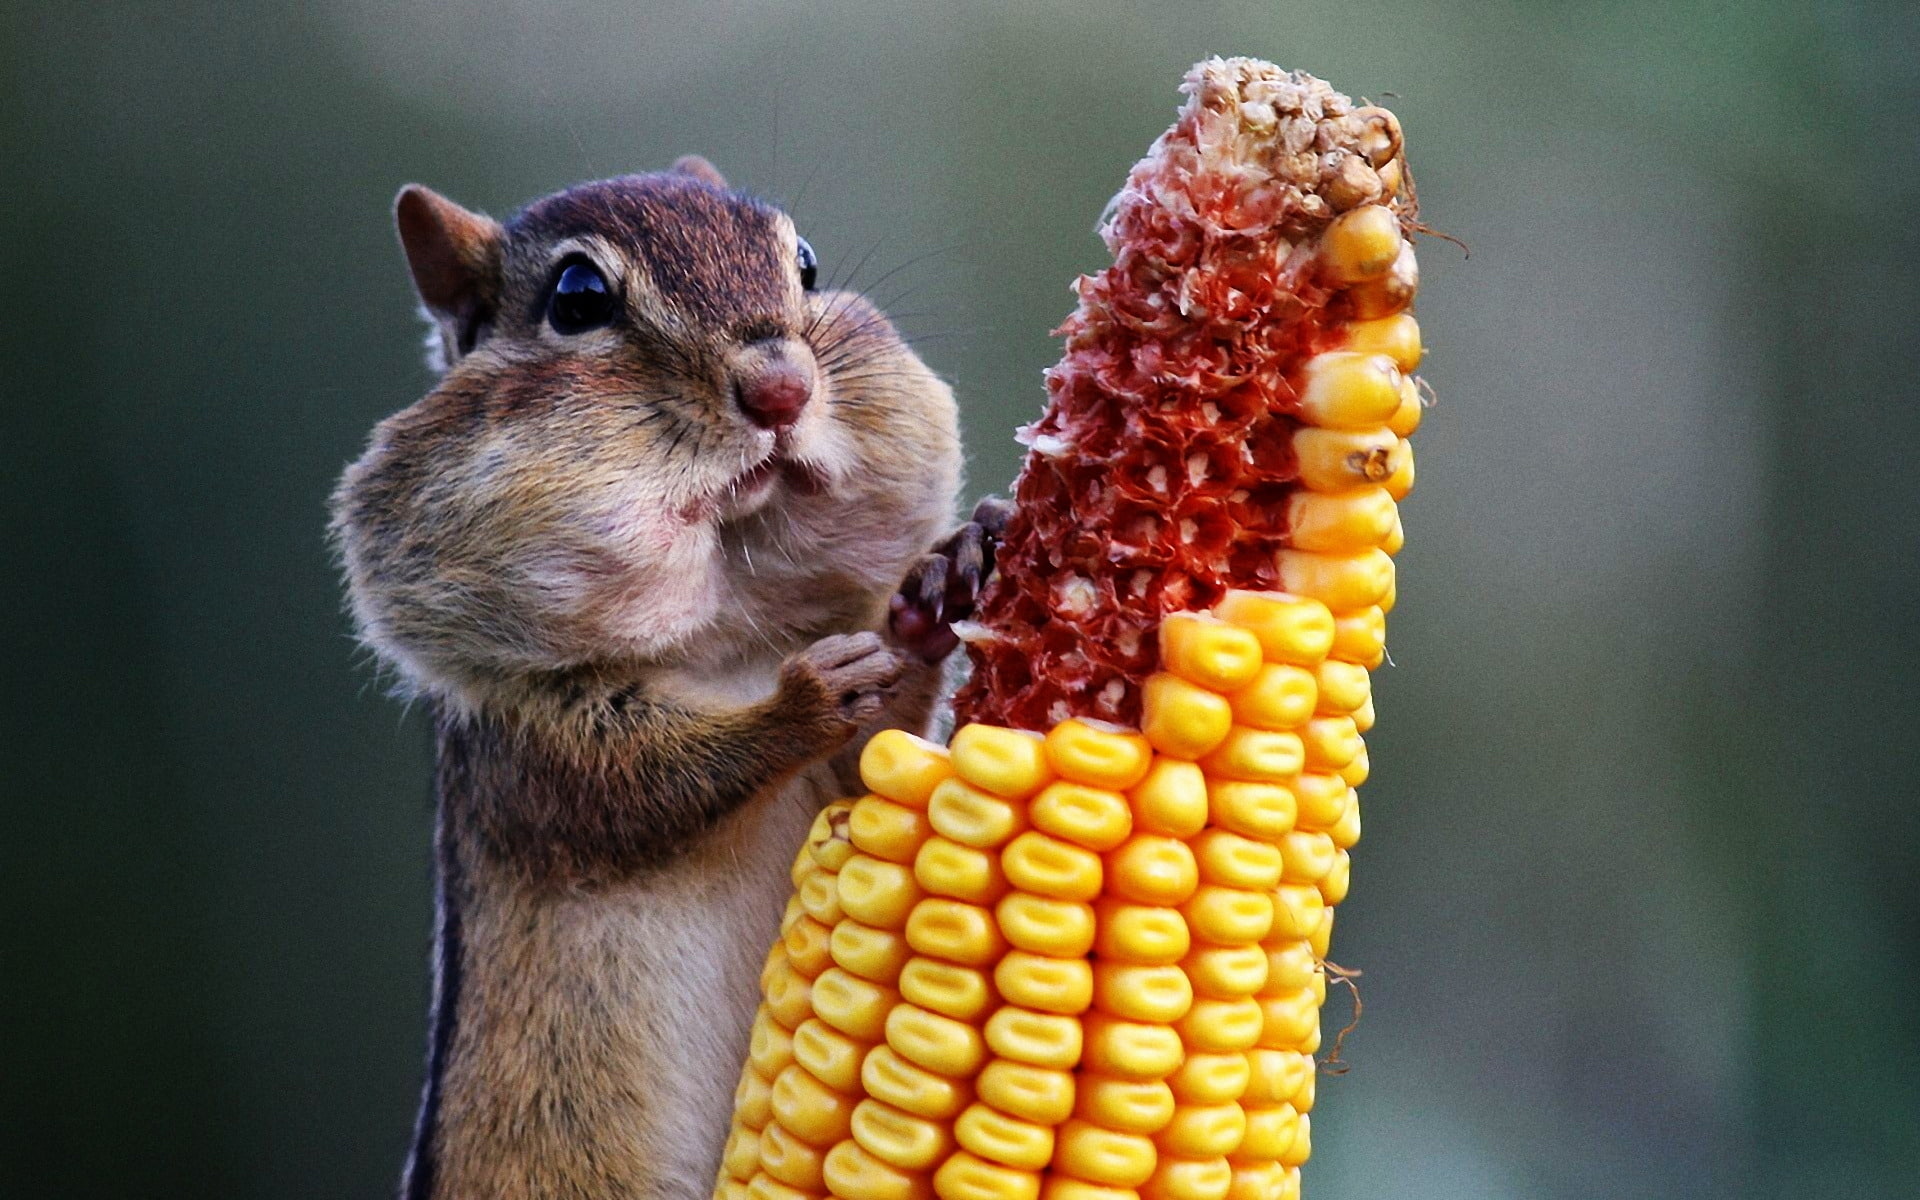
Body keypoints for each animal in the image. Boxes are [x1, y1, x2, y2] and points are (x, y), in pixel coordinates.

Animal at [330, 156, 1004, 1200]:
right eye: (577, 298)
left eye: (805, 264)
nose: (781, 387)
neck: (726, 643)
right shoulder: (528, 753)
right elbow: (645, 786)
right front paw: (802, 702)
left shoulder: (839, 776)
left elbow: (873, 759)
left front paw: (941, 582)